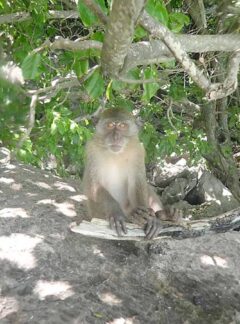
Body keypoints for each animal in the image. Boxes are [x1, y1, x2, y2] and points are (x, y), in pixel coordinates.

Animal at [83, 107, 180, 239]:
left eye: (122, 126)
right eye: (110, 125)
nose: (116, 137)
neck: (116, 154)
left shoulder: (138, 150)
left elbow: (137, 182)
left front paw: (149, 219)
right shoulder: (92, 150)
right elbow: (94, 186)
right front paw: (116, 214)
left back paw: (165, 215)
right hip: (95, 213)